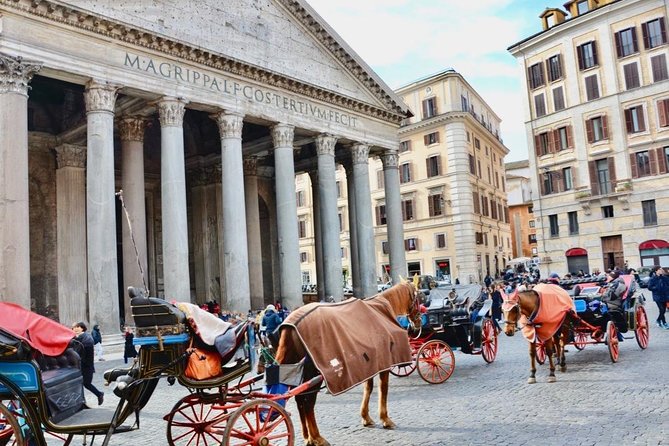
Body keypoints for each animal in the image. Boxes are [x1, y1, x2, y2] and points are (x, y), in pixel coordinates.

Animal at [270, 282, 418, 446]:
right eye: (419, 298)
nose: (415, 325)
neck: (380, 310)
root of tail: (289, 325)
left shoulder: (370, 364)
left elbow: (368, 388)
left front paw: (366, 417)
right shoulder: (384, 363)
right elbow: (383, 389)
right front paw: (385, 419)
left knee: (300, 400)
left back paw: (307, 436)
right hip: (313, 372)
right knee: (308, 402)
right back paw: (317, 437)